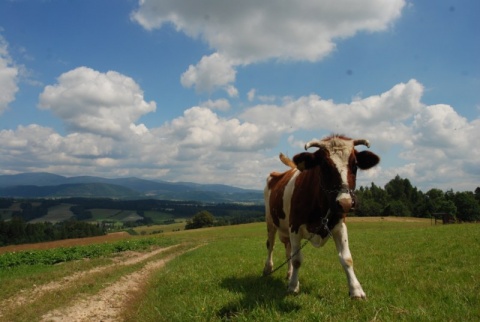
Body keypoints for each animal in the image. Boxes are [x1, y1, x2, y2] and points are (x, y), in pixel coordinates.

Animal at [260, 134, 380, 300]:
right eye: (324, 165)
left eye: (355, 165)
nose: (345, 202)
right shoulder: (294, 226)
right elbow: (297, 259)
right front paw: (293, 286)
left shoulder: (340, 226)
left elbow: (347, 258)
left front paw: (356, 290)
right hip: (270, 221)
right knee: (270, 245)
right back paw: (268, 268)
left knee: (288, 249)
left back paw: (289, 274)